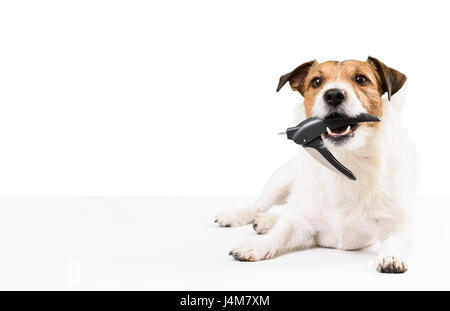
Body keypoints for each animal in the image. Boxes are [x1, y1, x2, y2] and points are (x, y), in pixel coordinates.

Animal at [214, 57, 418, 274]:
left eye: (361, 79)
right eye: (316, 82)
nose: (334, 94)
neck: (346, 160)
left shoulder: (399, 224)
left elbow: (397, 240)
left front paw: (391, 257)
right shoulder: (302, 223)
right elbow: (281, 233)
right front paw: (257, 246)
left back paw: (266, 221)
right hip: (281, 179)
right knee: (261, 204)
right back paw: (237, 215)